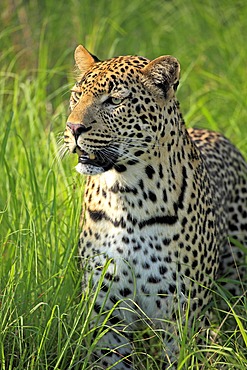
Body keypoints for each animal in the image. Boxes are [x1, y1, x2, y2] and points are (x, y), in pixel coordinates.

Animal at [64, 44, 247, 368]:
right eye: (77, 95)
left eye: (115, 100)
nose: (73, 127)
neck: (127, 195)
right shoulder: (106, 313)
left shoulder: (183, 314)